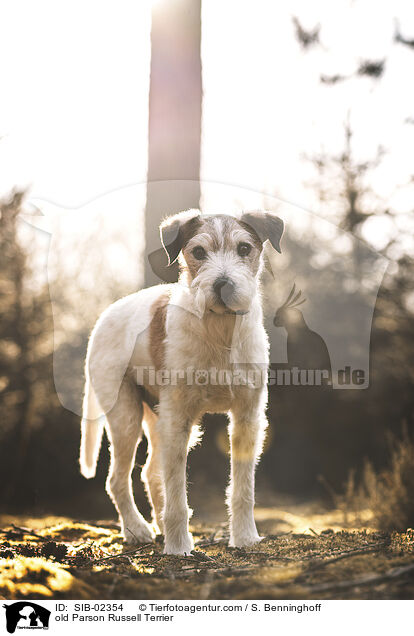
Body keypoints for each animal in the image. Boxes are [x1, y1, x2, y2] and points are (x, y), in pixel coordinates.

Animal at [79, 207, 284, 552]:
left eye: (244, 248)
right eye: (198, 252)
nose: (223, 285)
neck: (219, 331)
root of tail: (102, 319)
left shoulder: (247, 417)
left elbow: (243, 489)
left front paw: (244, 537)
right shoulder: (178, 419)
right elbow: (176, 490)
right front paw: (178, 548)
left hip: (156, 417)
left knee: (150, 473)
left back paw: (158, 526)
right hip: (126, 417)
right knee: (119, 479)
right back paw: (137, 530)